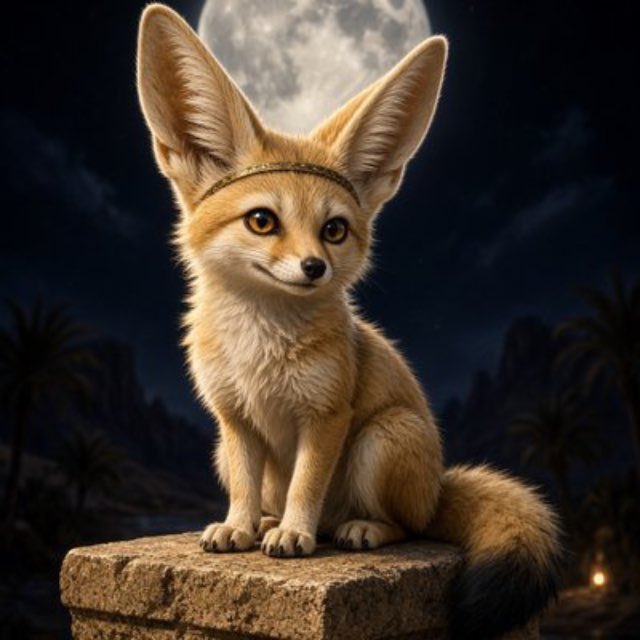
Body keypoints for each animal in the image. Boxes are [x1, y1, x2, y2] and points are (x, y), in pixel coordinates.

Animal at [136, 4, 562, 638]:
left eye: (334, 230)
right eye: (262, 220)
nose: (314, 267)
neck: (262, 344)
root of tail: (438, 487)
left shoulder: (327, 417)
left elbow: (307, 484)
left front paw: (296, 533)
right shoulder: (233, 420)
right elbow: (246, 486)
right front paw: (240, 526)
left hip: (380, 440)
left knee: (408, 525)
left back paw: (352, 528)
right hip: (230, 450)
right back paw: (265, 523)